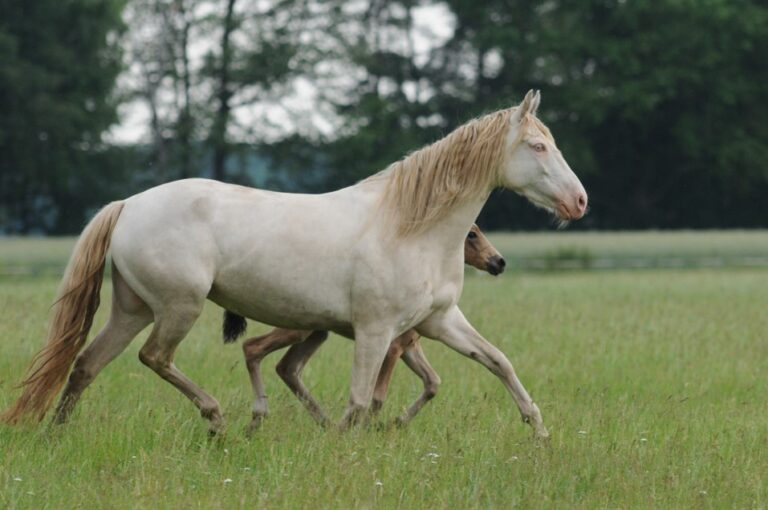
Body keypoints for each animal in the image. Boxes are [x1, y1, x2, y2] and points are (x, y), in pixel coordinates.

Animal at [231, 223, 508, 426]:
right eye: (471, 234)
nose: (499, 262)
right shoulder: (393, 347)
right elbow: (377, 397)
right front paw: (371, 430)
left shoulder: (409, 346)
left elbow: (432, 383)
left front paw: (396, 423)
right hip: (297, 330)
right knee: (253, 347)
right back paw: (258, 420)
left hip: (317, 334)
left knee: (287, 368)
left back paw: (325, 423)